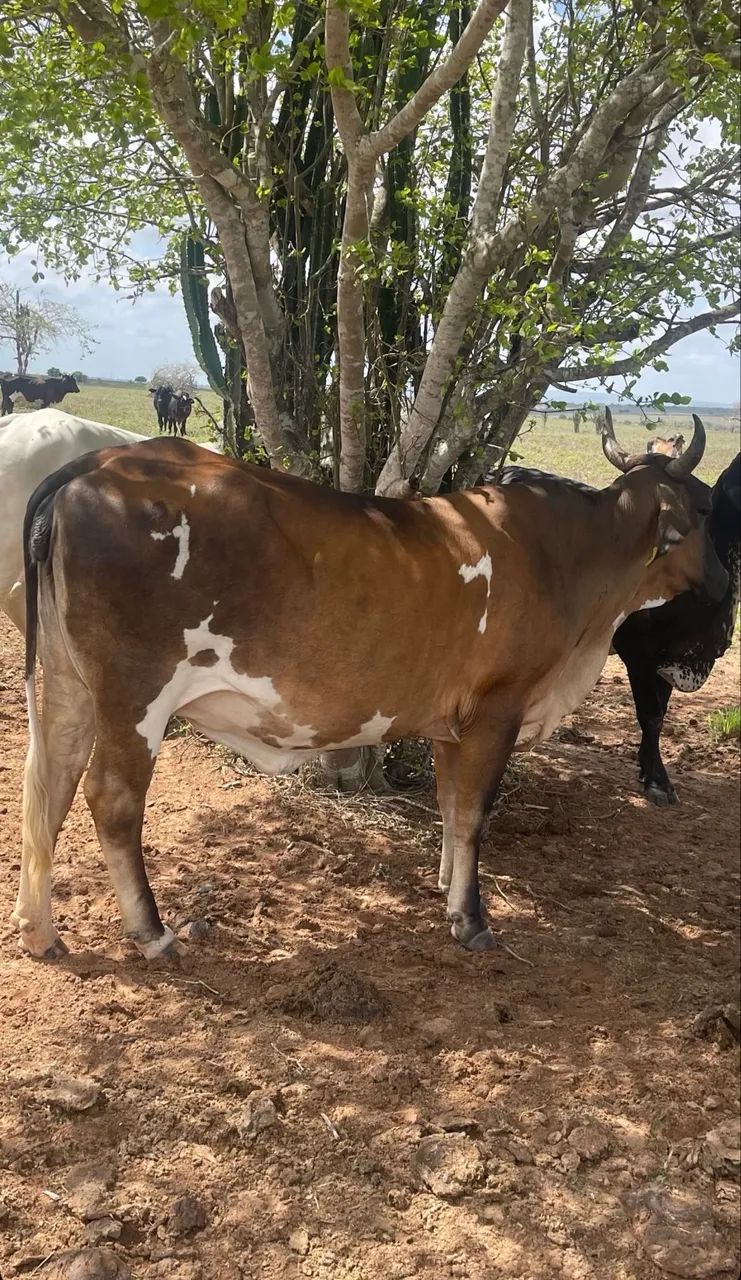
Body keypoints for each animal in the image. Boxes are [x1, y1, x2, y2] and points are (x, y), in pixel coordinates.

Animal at [12, 411, 727, 963]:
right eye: (703, 510)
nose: (723, 581)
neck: (570, 561)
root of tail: (94, 465)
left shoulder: (453, 720)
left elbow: (450, 806)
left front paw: (447, 889)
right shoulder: (497, 709)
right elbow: (474, 813)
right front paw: (471, 920)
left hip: (72, 686)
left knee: (48, 782)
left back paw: (40, 931)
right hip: (135, 696)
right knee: (110, 798)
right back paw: (152, 933)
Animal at [613, 452, 740, 805]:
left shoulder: (669, 658)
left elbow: (661, 711)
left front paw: (646, 766)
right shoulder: (638, 655)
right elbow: (650, 716)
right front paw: (658, 781)